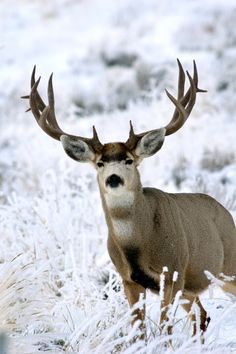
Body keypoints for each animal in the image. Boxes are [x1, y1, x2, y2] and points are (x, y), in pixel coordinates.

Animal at [22, 60, 236, 338]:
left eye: (129, 160)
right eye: (100, 163)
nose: (113, 179)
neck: (139, 242)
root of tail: (226, 212)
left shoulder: (173, 272)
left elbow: (165, 328)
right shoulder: (128, 280)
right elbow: (139, 329)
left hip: (228, 268)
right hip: (193, 288)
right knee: (202, 316)